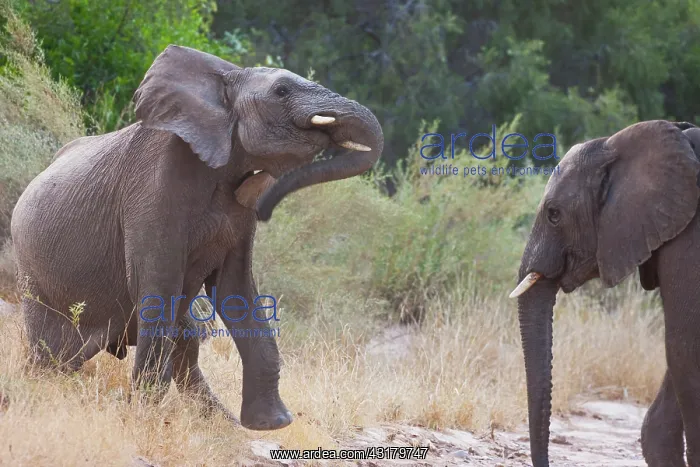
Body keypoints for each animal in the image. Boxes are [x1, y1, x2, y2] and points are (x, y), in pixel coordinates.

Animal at [10, 45, 383, 430]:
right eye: (281, 91)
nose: (265, 203)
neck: (226, 79)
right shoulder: (155, 190)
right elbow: (158, 287)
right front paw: (143, 420)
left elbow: (235, 289)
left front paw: (272, 424)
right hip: (32, 273)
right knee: (51, 353)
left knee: (185, 338)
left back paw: (221, 421)